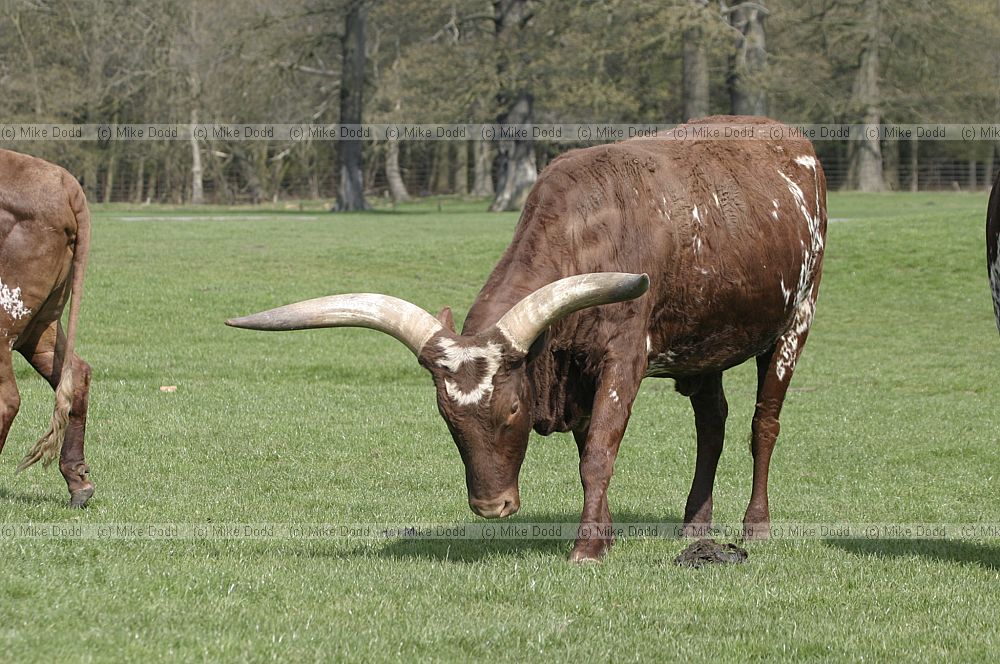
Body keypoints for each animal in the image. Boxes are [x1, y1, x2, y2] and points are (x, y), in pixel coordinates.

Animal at [228, 115, 827, 561]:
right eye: (447, 415)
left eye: (512, 411)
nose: (491, 508)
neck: (588, 231)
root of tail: (794, 141)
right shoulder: (575, 371)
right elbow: (589, 449)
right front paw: (605, 535)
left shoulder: (623, 360)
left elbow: (599, 453)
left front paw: (587, 550)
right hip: (704, 345)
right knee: (713, 423)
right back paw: (695, 526)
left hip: (795, 322)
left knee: (763, 425)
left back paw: (755, 526)